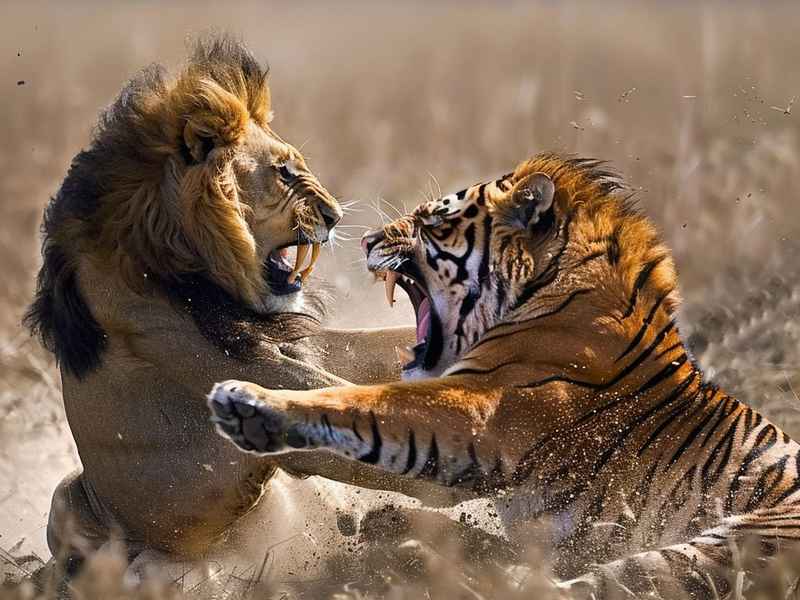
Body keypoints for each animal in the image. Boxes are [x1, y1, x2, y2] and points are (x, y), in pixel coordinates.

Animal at [208, 153, 800, 597]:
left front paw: (250, 404)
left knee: (575, 587)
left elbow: (363, 404)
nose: (367, 240)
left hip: (733, 541)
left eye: (430, 222)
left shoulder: (486, 411)